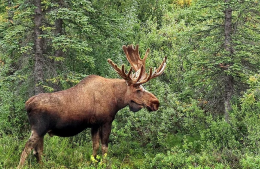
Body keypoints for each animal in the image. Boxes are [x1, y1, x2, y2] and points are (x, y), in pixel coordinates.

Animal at [17, 44, 167, 168]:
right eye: (138, 90)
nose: (156, 102)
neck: (116, 99)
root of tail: (27, 104)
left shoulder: (94, 124)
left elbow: (95, 147)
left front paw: (93, 162)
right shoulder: (106, 121)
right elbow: (105, 147)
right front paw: (104, 164)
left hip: (41, 131)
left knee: (38, 151)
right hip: (38, 128)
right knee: (26, 149)